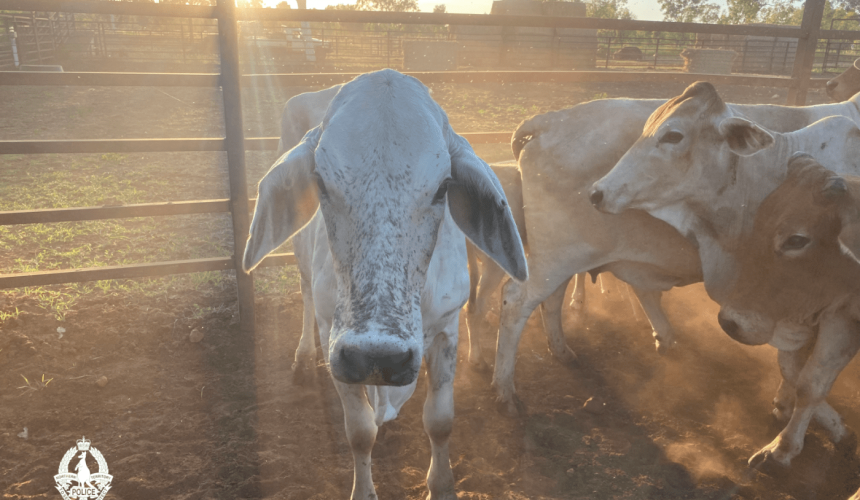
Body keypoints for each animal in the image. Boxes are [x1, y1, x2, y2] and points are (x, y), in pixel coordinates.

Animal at [243, 69, 527, 499]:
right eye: (320, 182)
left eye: (443, 186)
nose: (378, 356)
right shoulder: (336, 342)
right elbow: (360, 432)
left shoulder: (446, 327)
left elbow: (440, 421)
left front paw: (441, 486)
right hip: (303, 266)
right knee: (305, 294)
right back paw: (302, 358)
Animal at [493, 86, 860, 415]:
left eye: (673, 136)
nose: (598, 192)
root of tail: (548, 119)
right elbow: (801, 370)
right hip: (557, 256)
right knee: (516, 299)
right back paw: (505, 391)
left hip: (561, 258)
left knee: (551, 299)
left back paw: (563, 350)